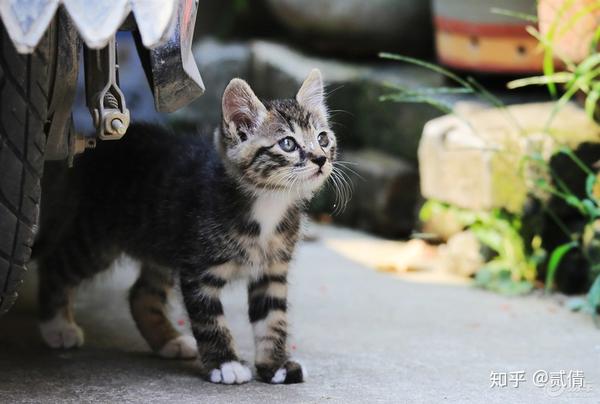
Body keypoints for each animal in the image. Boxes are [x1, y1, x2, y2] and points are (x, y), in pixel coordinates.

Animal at [35, 69, 336, 386]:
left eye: (323, 138)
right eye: (288, 144)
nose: (320, 159)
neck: (268, 205)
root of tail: (92, 147)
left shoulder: (272, 271)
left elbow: (273, 320)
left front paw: (275, 366)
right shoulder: (198, 270)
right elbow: (210, 321)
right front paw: (226, 363)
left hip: (161, 243)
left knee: (141, 294)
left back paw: (169, 340)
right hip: (96, 240)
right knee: (55, 263)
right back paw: (57, 326)